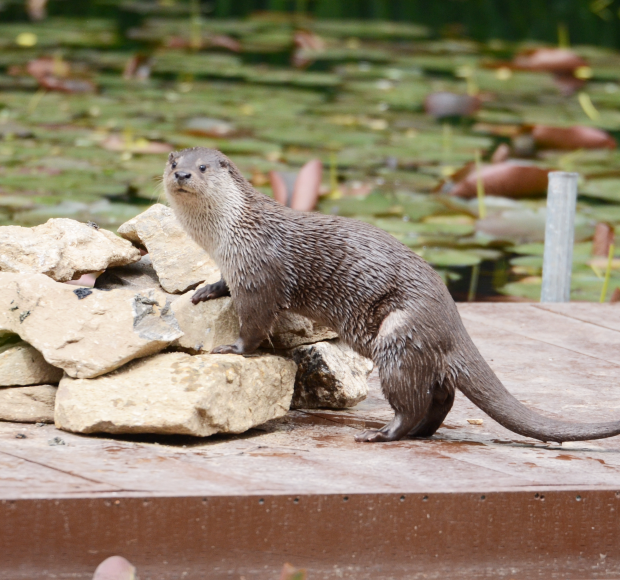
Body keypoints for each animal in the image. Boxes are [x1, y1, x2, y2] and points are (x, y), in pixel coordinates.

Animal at [165, 146, 620, 444]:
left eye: (201, 166)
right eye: (173, 161)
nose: (181, 175)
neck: (230, 232)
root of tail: (451, 319)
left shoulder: (259, 272)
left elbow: (256, 322)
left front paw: (233, 348)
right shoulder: (236, 266)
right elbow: (224, 284)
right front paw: (207, 289)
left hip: (399, 334)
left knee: (414, 398)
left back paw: (386, 433)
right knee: (442, 395)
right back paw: (421, 433)